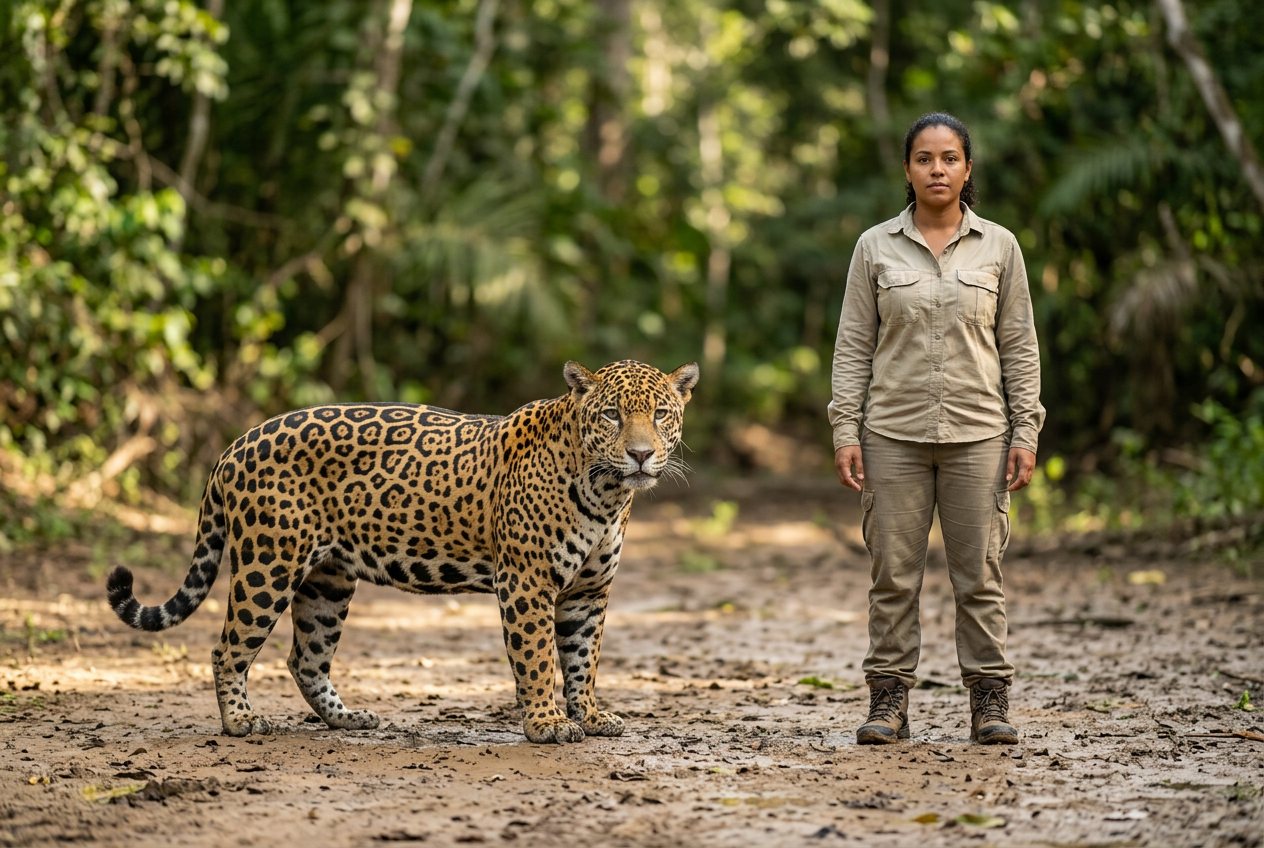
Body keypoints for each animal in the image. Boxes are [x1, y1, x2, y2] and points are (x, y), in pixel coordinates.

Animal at [107, 359, 699, 744]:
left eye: (661, 414)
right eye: (611, 415)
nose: (641, 455)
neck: (607, 493)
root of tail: (237, 443)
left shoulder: (588, 591)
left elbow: (583, 659)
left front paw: (592, 716)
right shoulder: (526, 582)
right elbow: (536, 657)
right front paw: (547, 724)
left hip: (328, 579)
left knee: (306, 657)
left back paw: (348, 720)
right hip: (268, 564)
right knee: (227, 648)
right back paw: (240, 723)